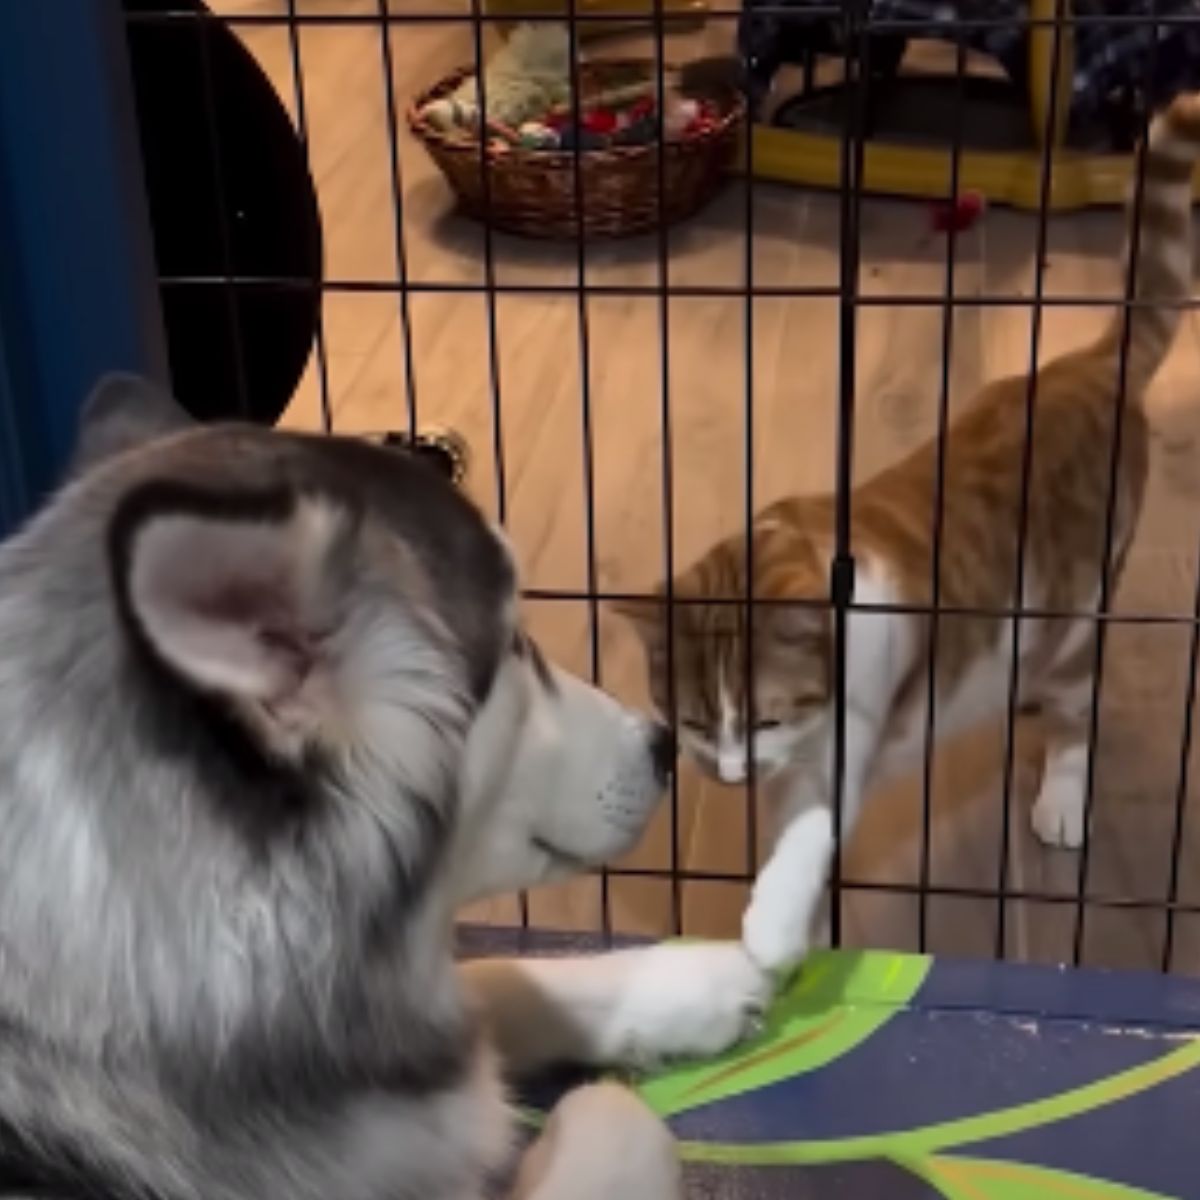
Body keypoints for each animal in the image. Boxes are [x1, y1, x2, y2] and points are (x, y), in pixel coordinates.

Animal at [619, 96, 1200, 974]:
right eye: (691, 723)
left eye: (764, 719)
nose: (730, 774)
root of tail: (1091, 365)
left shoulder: (839, 747)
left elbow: (806, 843)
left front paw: (780, 929)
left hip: (1077, 614)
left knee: (1076, 713)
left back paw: (1062, 795)